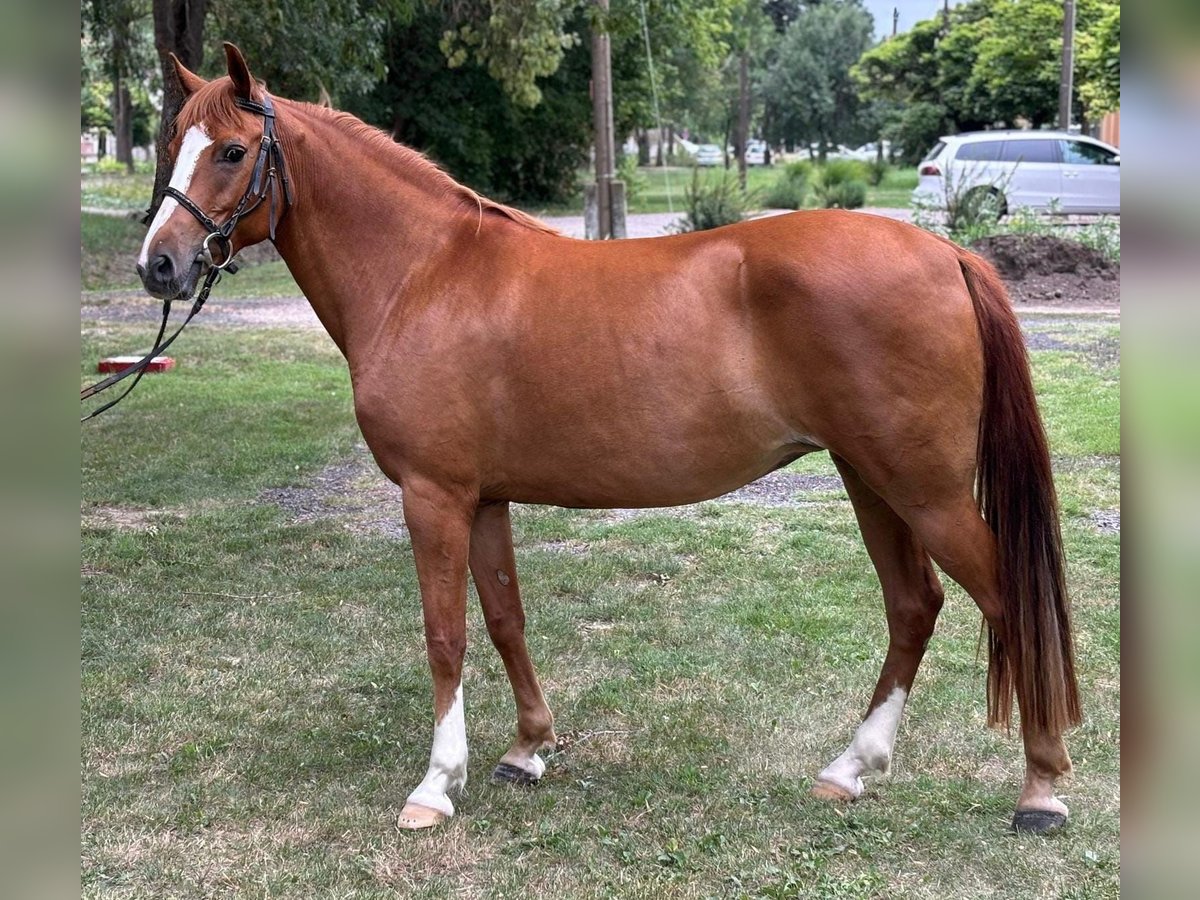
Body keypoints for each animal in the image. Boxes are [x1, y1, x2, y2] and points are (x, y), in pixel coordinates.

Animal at [138, 47, 1080, 840]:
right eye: (171, 145)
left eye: (230, 151)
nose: (159, 265)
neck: (424, 276)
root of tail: (947, 252)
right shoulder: (483, 497)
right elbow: (505, 618)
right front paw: (527, 749)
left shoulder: (433, 495)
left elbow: (445, 634)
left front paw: (435, 786)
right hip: (871, 478)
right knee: (914, 606)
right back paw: (850, 769)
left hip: (923, 489)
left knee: (1006, 601)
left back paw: (1040, 788)